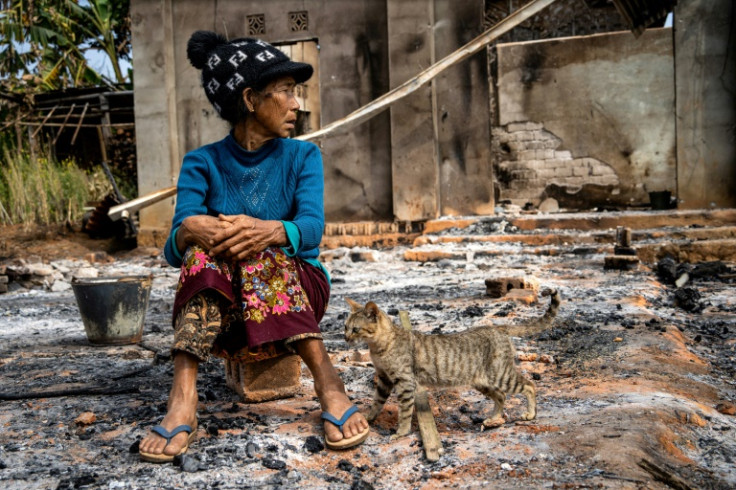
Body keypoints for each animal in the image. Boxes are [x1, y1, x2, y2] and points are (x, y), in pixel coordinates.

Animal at [344, 290, 556, 438]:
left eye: (355, 329)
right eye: (345, 327)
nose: (345, 337)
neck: (378, 347)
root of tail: (497, 327)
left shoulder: (404, 382)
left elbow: (404, 412)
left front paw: (401, 432)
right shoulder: (384, 379)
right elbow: (376, 402)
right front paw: (369, 418)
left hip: (502, 375)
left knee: (529, 385)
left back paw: (530, 414)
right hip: (483, 382)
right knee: (501, 396)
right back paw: (494, 418)